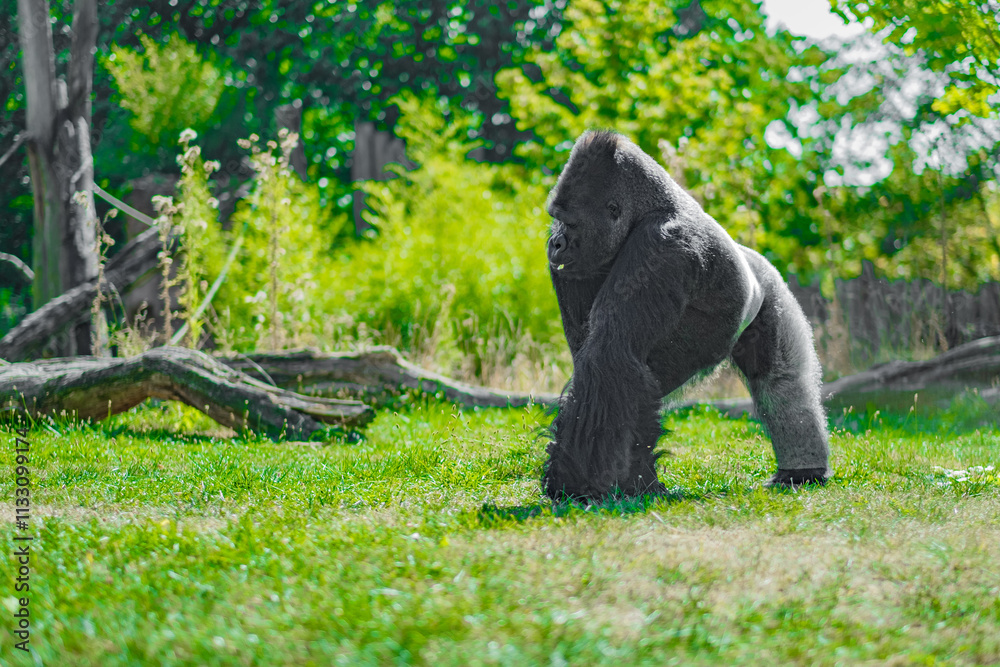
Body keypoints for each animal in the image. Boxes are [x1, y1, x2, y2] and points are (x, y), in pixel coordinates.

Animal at [542, 129, 830, 501]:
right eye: (556, 218)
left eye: (570, 222)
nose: (555, 243)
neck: (648, 208)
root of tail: (753, 257)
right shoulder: (579, 266)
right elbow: (603, 369)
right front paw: (628, 480)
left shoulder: (662, 245)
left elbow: (610, 357)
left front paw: (579, 482)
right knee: (781, 381)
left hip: (771, 285)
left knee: (781, 380)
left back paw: (803, 472)